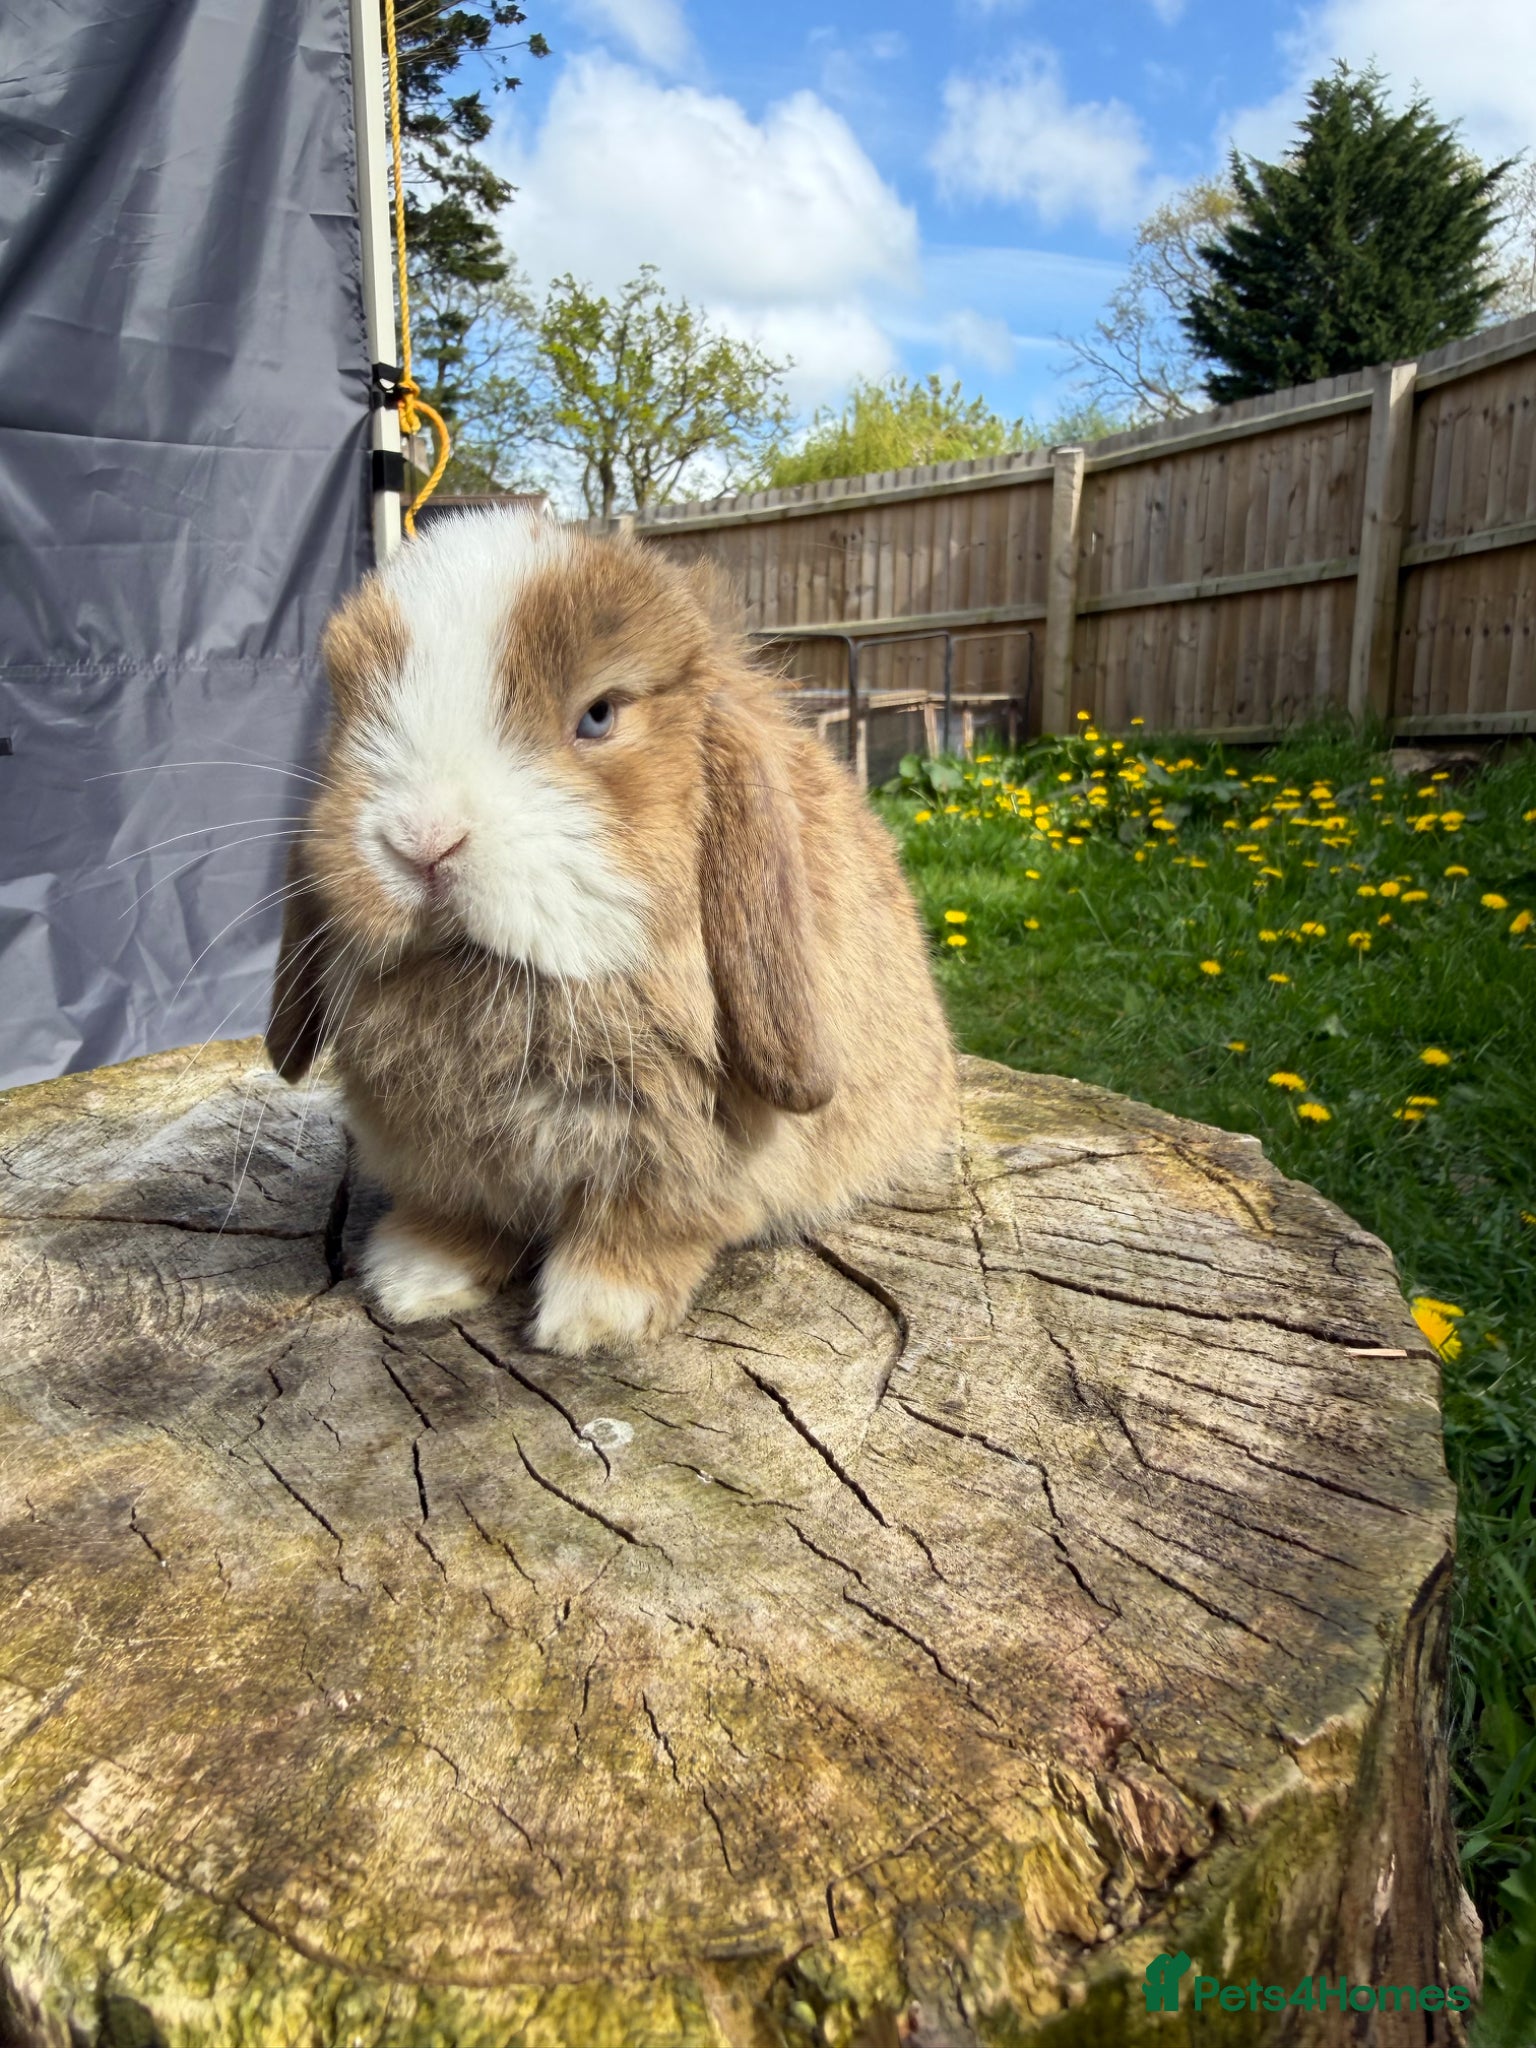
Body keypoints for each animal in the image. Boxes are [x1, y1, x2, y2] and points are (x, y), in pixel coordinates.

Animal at [266, 506, 957, 1355]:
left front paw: (592, 1318)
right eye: (350, 717)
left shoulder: (681, 1159)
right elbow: (457, 1215)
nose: (423, 840)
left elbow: (645, 1227)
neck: (494, 983)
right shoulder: (441, 1158)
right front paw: (414, 1279)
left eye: (597, 716)